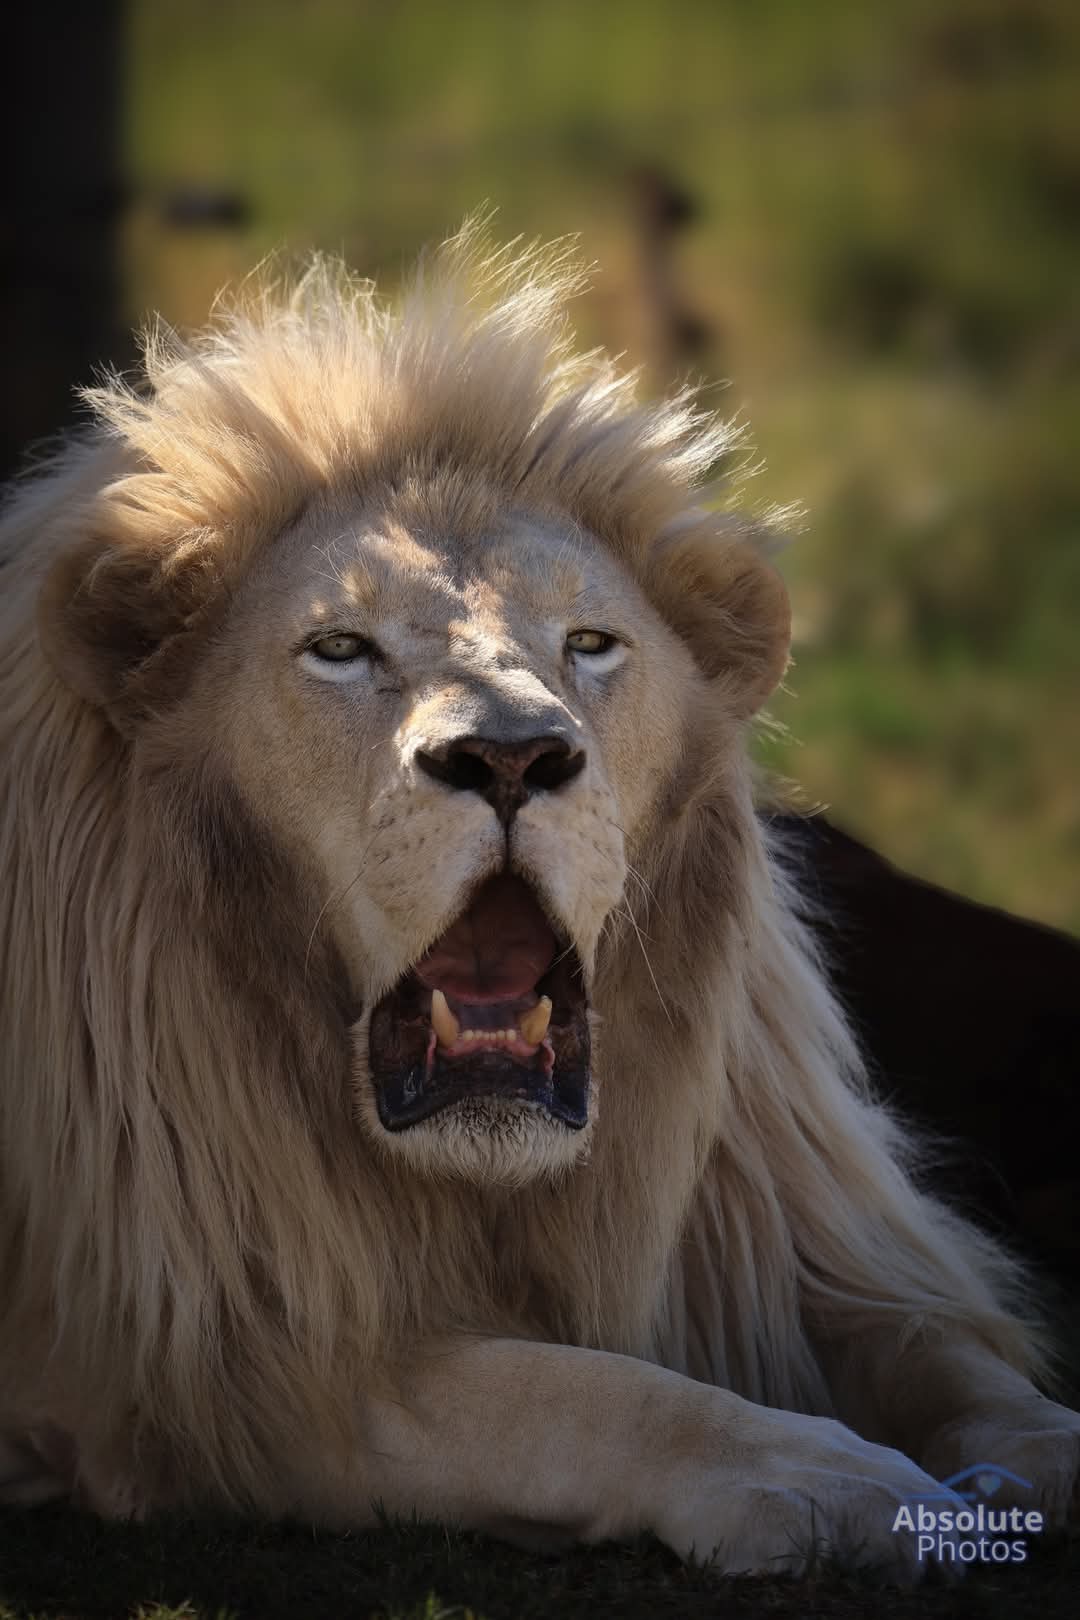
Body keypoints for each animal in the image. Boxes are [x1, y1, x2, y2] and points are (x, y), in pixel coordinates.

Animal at [1, 222, 1077, 1579]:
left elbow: (954, 1358)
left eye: (590, 644)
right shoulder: (222, 1347)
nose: (511, 757)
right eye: (341, 649)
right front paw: (819, 1477)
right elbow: (574, 1396)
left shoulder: (794, 1247)